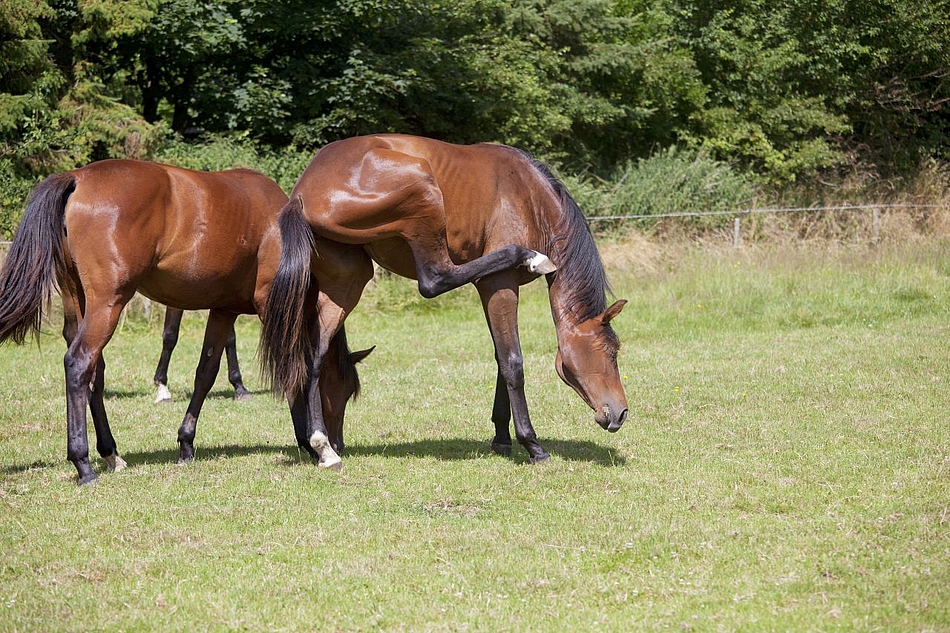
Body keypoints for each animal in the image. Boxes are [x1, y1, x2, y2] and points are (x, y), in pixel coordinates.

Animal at [0, 160, 372, 484]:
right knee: (78, 364)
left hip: (79, 302)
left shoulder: (223, 311)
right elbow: (293, 367)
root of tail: (77, 177)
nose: (338, 442)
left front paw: (186, 442)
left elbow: (205, 374)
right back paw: (83, 464)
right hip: (108, 303)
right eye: (343, 389)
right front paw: (314, 445)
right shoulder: (271, 306)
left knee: (95, 372)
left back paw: (111, 454)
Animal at [260, 134, 627, 467]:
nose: (621, 413)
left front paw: (502, 437)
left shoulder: (495, 292)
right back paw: (530, 257)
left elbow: (499, 358)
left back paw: (323, 449)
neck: (531, 197)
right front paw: (532, 445)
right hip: (422, 190)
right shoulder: (498, 284)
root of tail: (302, 192)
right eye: (611, 352)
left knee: (313, 360)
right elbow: (512, 362)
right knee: (434, 278)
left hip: (347, 282)